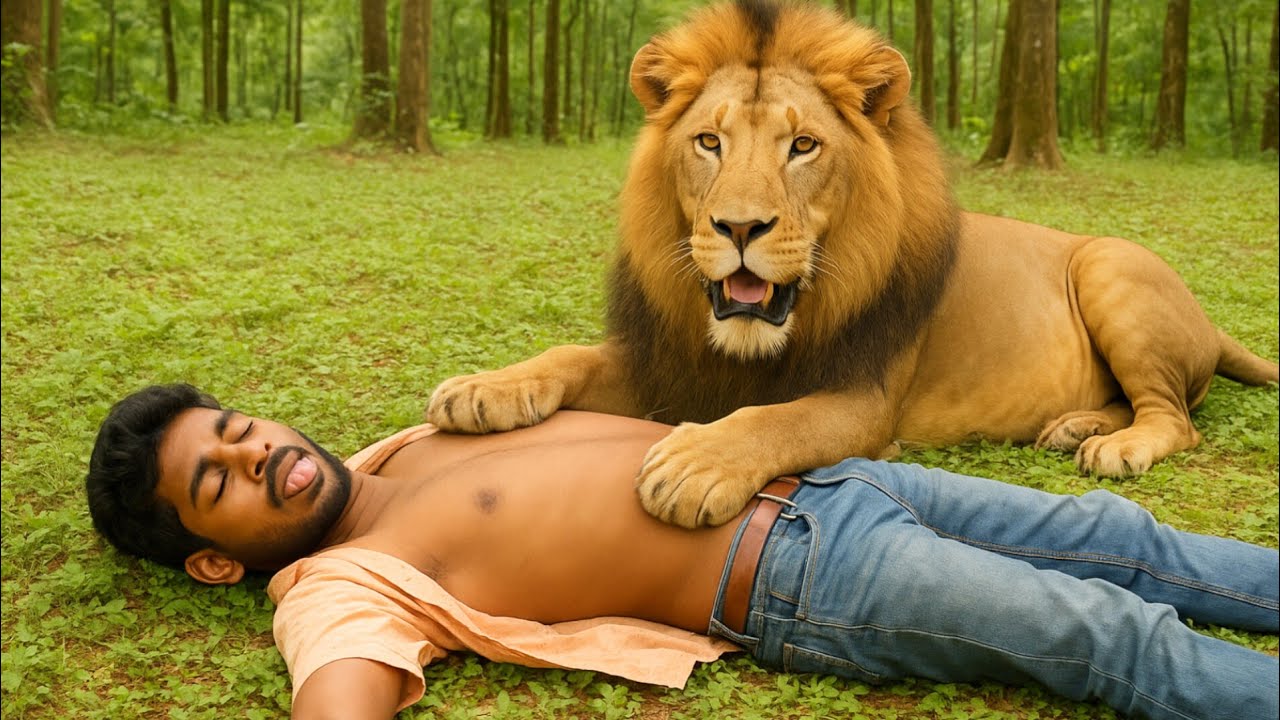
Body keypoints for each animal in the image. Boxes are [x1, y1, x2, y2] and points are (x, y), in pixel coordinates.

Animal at [427, 0, 1279, 529]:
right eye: (709, 141)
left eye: (803, 146)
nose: (740, 226)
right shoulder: (671, 362)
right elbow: (569, 354)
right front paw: (485, 387)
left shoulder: (864, 399)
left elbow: (776, 418)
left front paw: (696, 462)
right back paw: (1075, 425)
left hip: (1110, 266)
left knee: (1174, 416)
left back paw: (1115, 444)